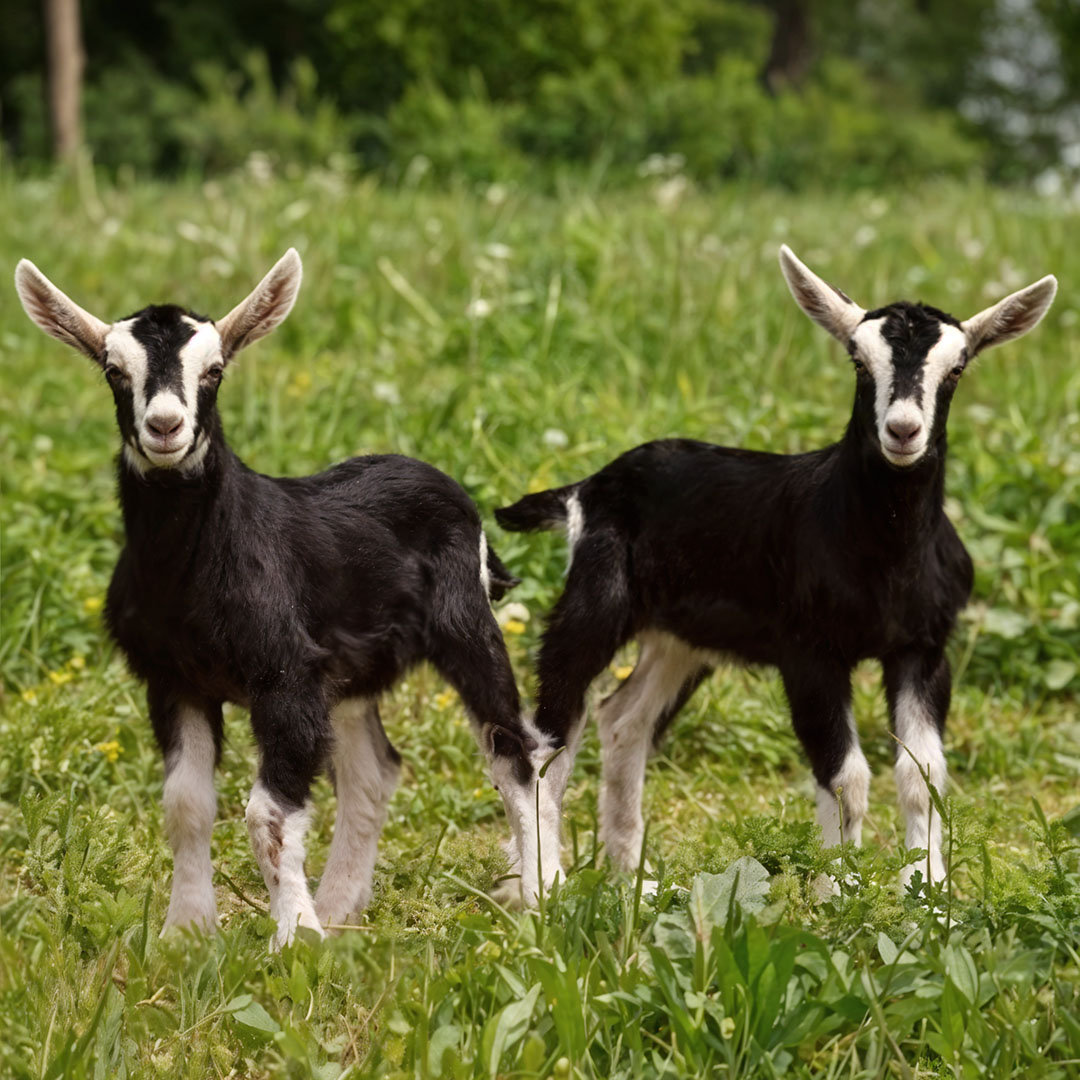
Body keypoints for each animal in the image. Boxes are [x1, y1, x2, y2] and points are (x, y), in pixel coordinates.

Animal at [14, 250, 551, 945]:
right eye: (113, 370)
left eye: (215, 370)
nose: (166, 426)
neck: (193, 568)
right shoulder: (174, 680)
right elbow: (186, 805)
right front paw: (186, 934)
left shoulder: (285, 676)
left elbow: (266, 816)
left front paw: (294, 938)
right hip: (349, 672)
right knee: (373, 772)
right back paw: (341, 909)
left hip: (467, 626)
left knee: (517, 748)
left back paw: (540, 894)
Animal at [496, 246, 1057, 894]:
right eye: (859, 361)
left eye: (958, 368)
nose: (903, 430)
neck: (884, 555)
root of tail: (587, 487)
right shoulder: (809, 652)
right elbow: (846, 775)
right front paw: (840, 893)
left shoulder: (922, 650)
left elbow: (923, 776)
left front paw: (928, 897)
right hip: (595, 603)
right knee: (546, 741)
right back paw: (541, 886)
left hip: (682, 638)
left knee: (624, 720)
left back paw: (631, 880)